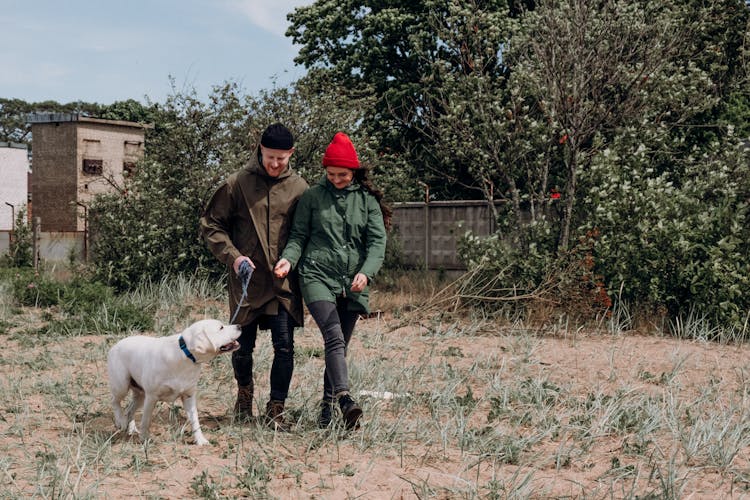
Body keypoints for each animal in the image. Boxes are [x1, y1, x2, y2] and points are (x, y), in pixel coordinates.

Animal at [108, 318, 241, 444]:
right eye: (221, 327)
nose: (239, 326)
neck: (185, 355)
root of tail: (115, 345)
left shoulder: (188, 396)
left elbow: (195, 421)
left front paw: (200, 440)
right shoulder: (152, 396)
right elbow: (146, 420)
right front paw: (145, 439)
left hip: (141, 395)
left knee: (129, 410)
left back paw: (131, 429)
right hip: (122, 385)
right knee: (114, 401)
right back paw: (120, 422)